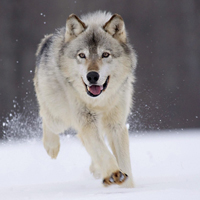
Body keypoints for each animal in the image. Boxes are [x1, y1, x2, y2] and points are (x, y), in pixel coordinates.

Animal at [34, 10, 138, 188]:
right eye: (82, 55)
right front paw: (114, 173)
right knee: (46, 118)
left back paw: (96, 169)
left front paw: (127, 186)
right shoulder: (87, 122)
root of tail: (46, 40)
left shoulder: (116, 125)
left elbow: (123, 161)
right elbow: (103, 151)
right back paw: (51, 147)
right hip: (59, 118)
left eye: (105, 54)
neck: (99, 102)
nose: (92, 76)